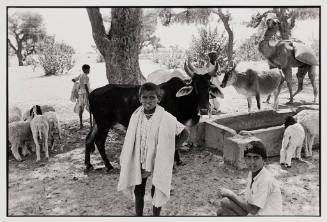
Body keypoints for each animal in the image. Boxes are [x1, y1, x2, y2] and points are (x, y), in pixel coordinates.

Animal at [84, 58, 224, 172]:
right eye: (195, 87)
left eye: (209, 87)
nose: (204, 109)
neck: (181, 99)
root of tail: (92, 93)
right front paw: (173, 163)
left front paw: (178, 161)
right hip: (104, 124)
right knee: (99, 142)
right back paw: (109, 166)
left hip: (97, 123)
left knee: (88, 138)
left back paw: (88, 164)